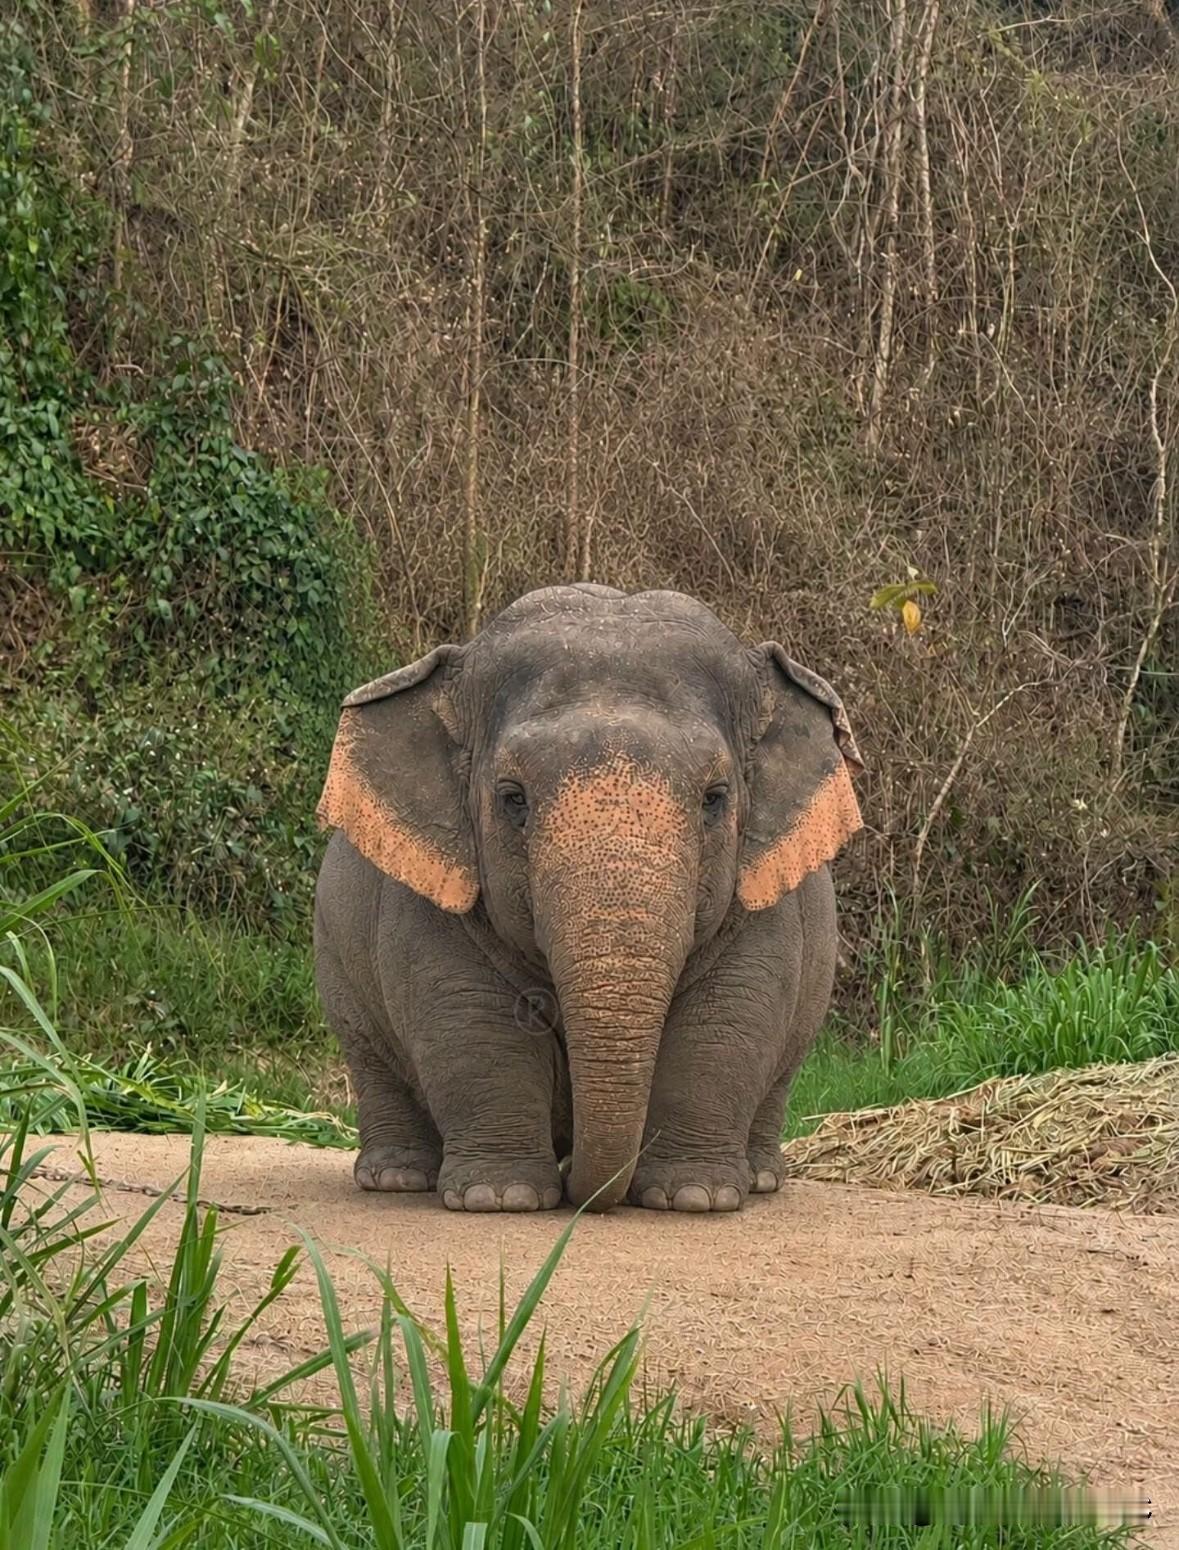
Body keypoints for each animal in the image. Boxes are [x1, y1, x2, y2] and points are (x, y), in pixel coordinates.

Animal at [313, 584, 863, 1214]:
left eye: (716, 798)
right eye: (513, 798)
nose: (585, 1189)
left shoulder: (762, 893)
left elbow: (728, 1016)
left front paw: (694, 1197)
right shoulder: (430, 892)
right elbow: (469, 1017)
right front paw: (499, 1197)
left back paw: (763, 1178)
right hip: (336, 961)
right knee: (370, 1056)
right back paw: (397, 1178)